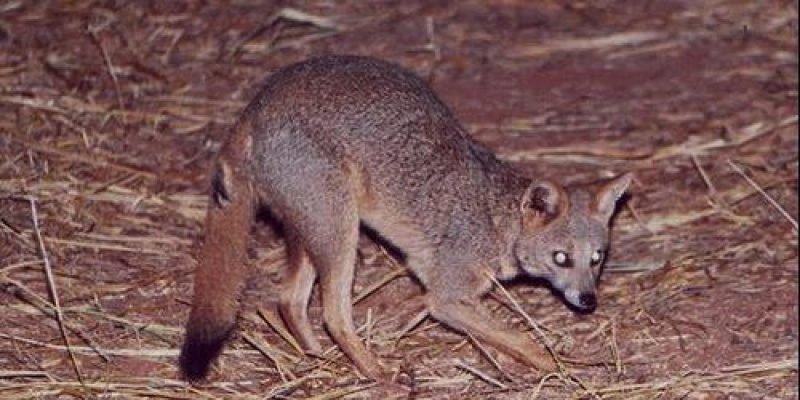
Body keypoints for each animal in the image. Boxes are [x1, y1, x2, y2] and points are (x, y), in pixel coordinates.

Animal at [179, 54, 632, 382]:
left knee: (289, 298)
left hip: (313, 233)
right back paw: (376, 372)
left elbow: (497, 335)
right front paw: (557, 366)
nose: (589, 301)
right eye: (561, 258)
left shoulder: (450, 290)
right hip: (341, 236)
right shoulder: (444, 297)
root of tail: (256, 106)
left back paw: (320, 361)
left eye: (597, 259)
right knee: (332, 313)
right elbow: (519, 337)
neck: (494, 219)